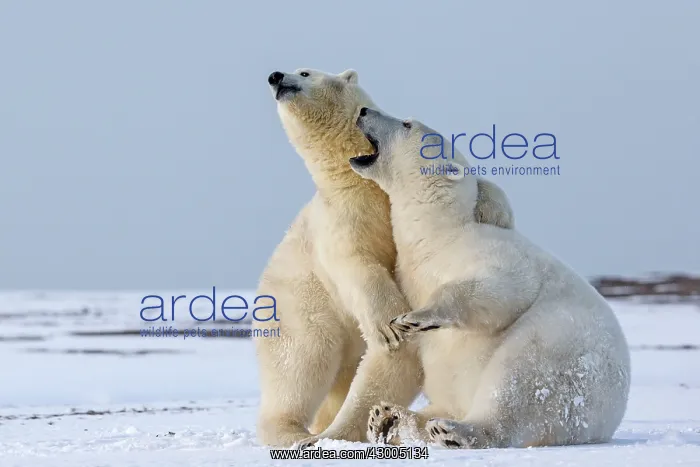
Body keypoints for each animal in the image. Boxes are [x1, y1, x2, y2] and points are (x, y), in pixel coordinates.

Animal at [253, 68, 516, 447]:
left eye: (304, 72)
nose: (276, 77)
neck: (364, 186)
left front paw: (495, 214)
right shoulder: (343, 220)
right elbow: (358, 262)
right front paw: (391, 326)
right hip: (300, 304)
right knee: (301, 362)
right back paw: (293, 431)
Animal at [350, 107, 631, 449]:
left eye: (407, 123)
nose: (364, 110)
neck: (437, 234)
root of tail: (611, 416)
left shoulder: (489, 251)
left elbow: (502, 287)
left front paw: (414, 318)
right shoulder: (408, 274)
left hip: (562, 350)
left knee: (519, 382)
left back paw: (454, 431)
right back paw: (389, 416)